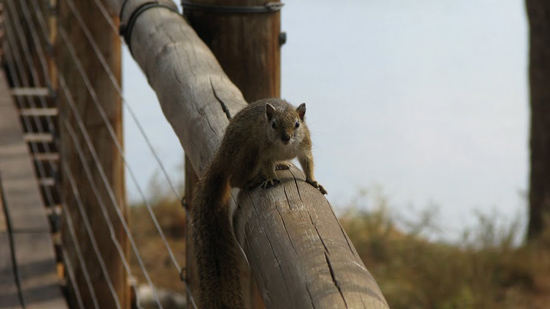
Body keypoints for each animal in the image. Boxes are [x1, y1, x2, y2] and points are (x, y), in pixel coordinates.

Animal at [191, 98, 328, 306]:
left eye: (297, 124)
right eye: (273, 125)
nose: (286, 137)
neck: (284, 147)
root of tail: (223, 155)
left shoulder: (305, 147)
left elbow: (308, 163)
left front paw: (313, 181)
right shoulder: (264, 151)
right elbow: (267, 164)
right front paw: (270, 178)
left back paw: (281, 164)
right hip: (248, 154)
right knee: (235, 180)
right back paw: (254, 179)